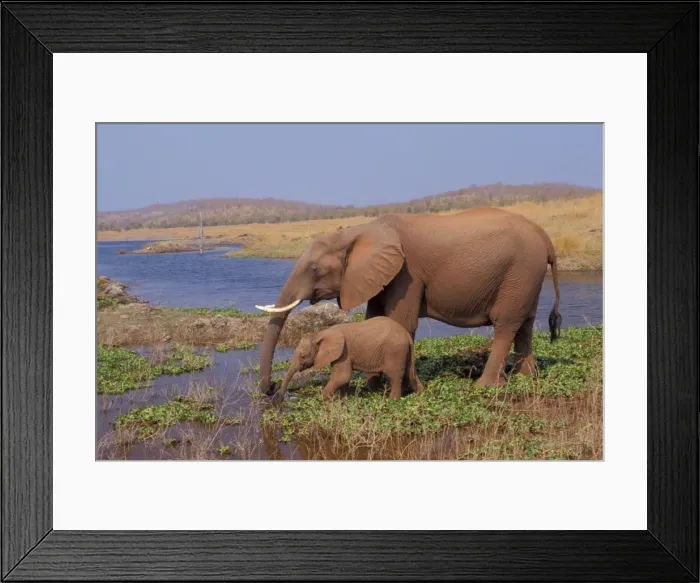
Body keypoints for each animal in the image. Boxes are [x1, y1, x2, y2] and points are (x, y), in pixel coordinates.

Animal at [275, 316, 425, 402]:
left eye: (303, 356)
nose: (281, 399)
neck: (320, 333)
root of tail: (406, 334)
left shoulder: (343, 353)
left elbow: (342, 376)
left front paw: (325, 399)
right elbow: (343, 378)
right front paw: (343, 399)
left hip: (394, 350)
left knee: (394, 375)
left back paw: (393, 401)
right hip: (404, 351)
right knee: (410, 373)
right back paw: (420, 394)